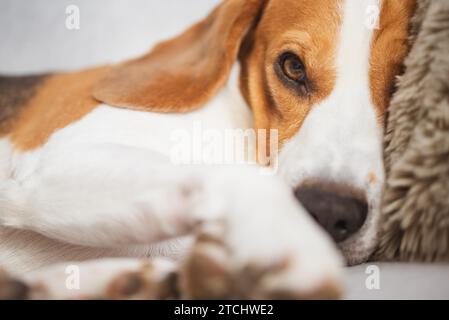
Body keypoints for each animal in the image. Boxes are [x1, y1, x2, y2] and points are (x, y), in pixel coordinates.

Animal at [0, 0, 412, 300]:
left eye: (400, 81)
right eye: (293, 67)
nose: (329, 210)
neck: (238, 130)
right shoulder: (50, 166)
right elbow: (244, 180)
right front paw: (286, 242)